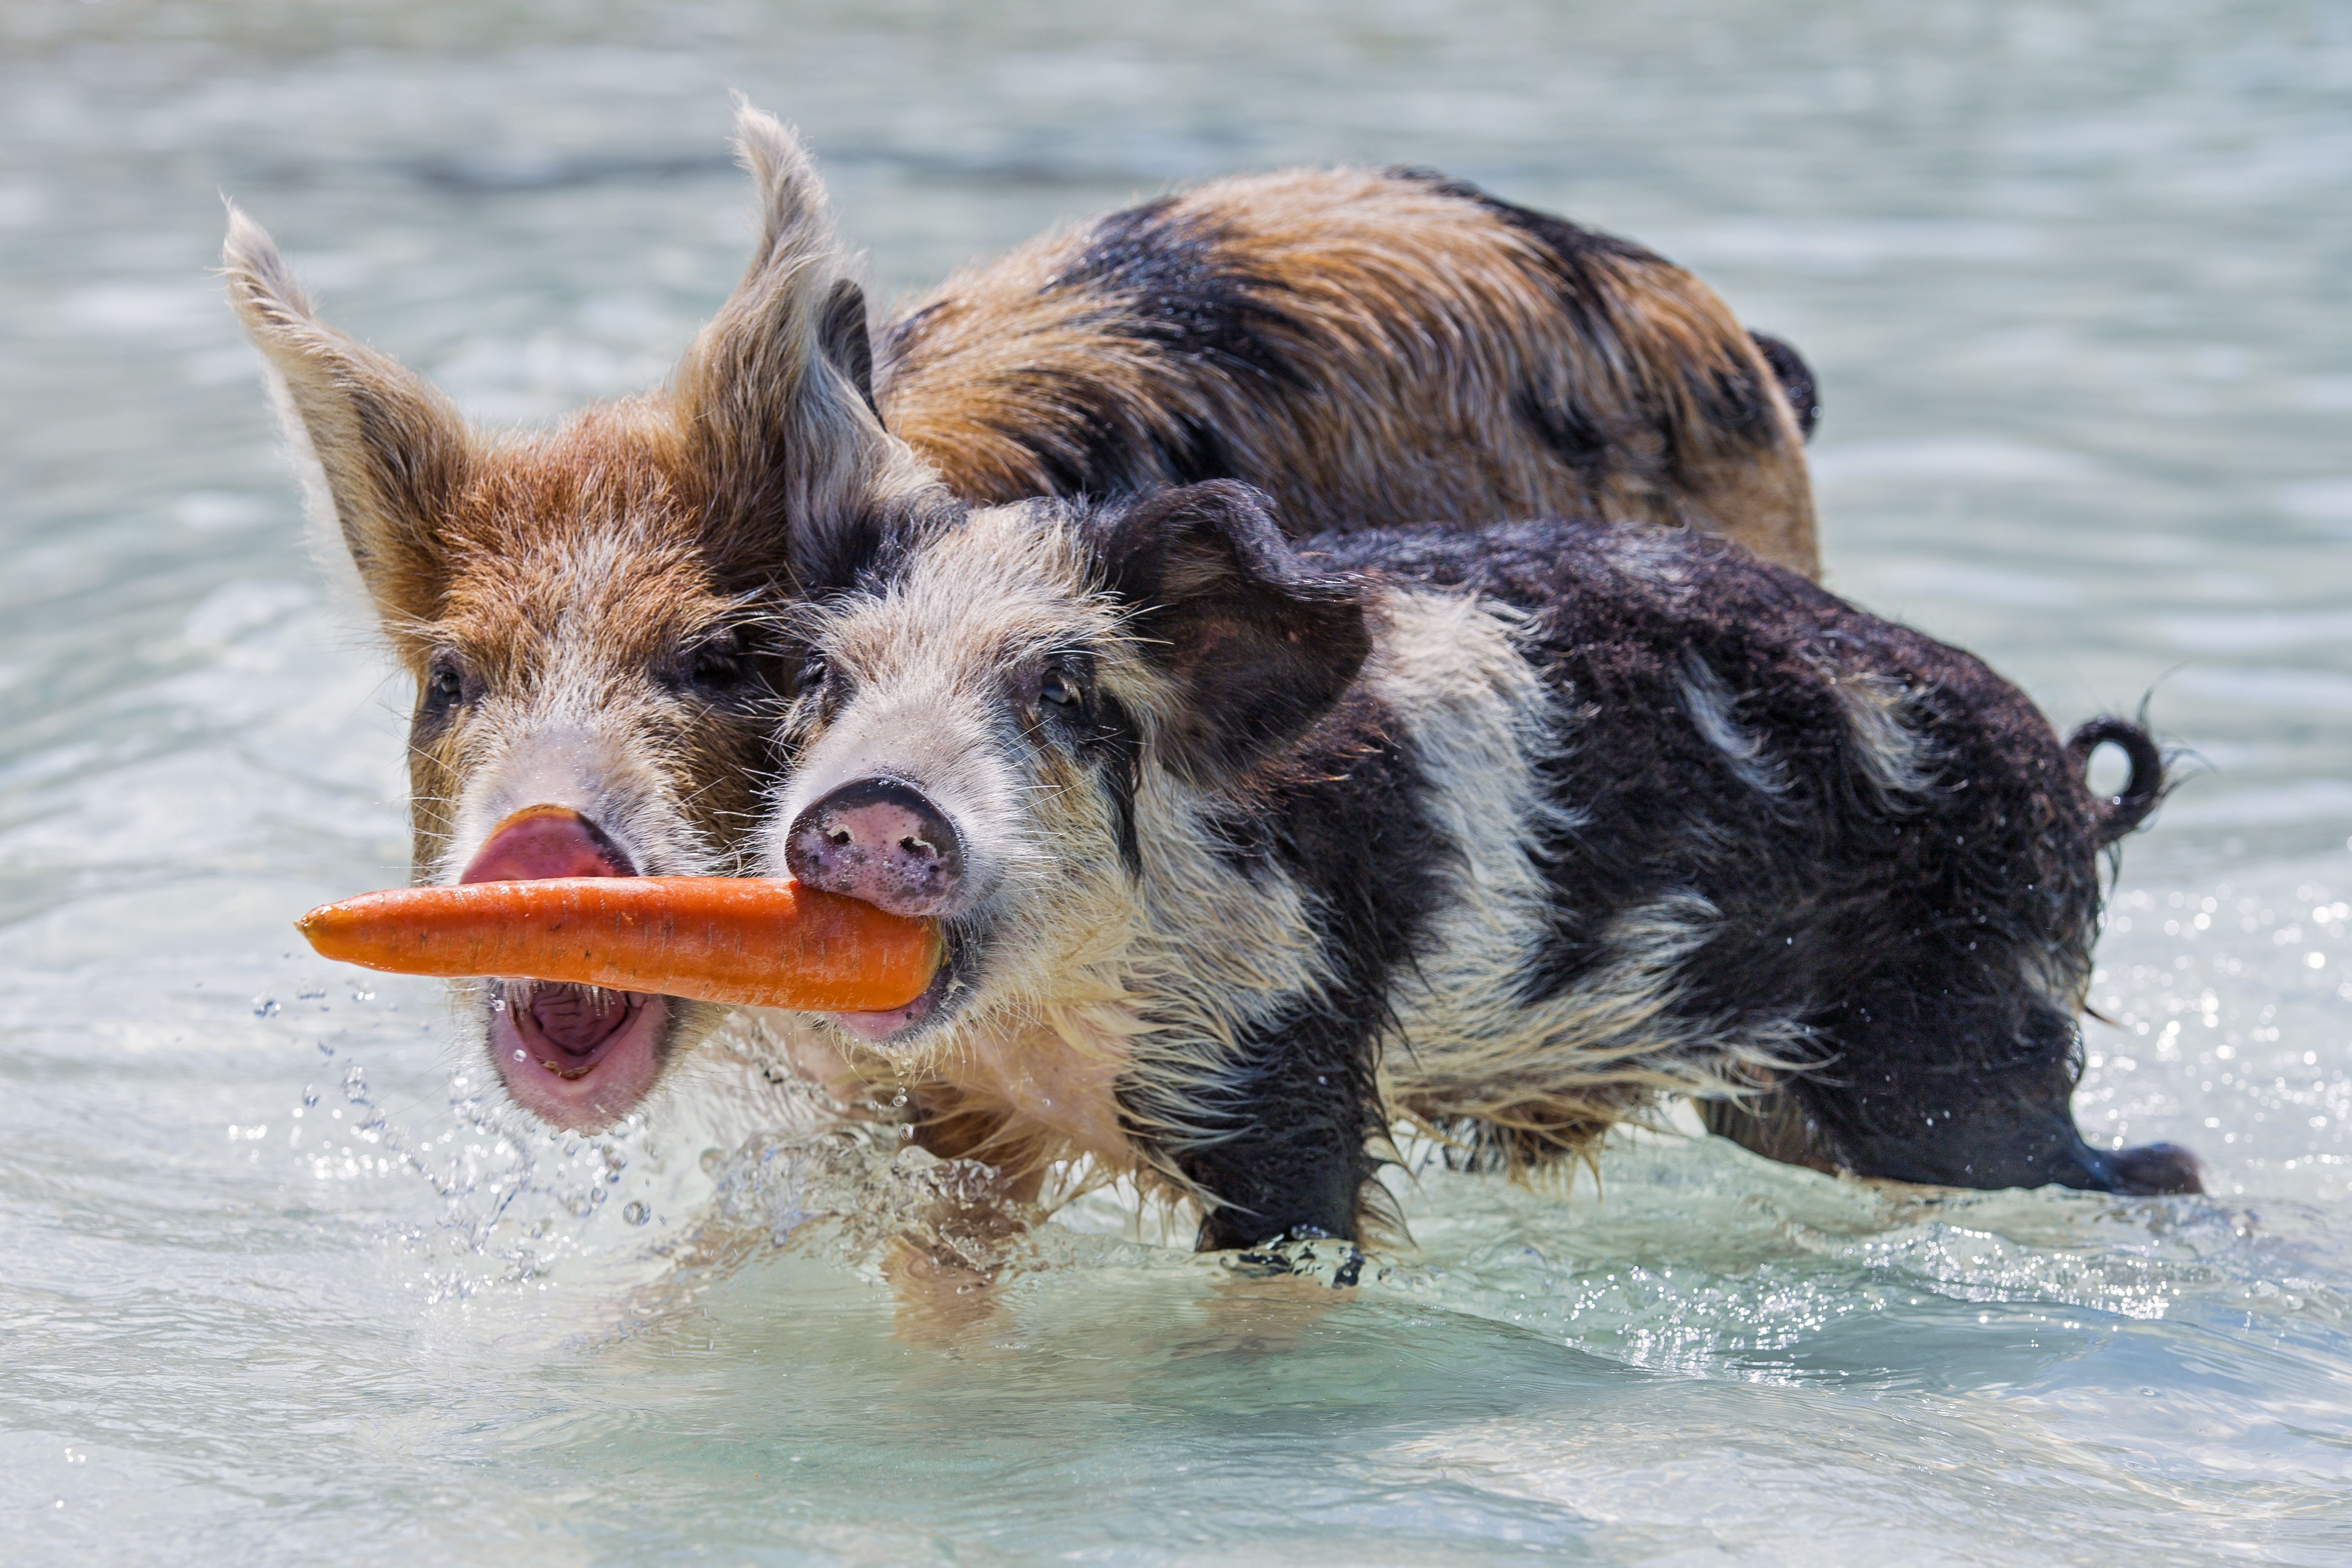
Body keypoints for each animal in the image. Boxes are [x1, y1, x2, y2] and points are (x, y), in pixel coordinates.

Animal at [757, 484, 2201, 1260]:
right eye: (827, 676)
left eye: (1060, 690)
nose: (875, 808)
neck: (1048, 1033)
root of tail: (2072, 789)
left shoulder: (1281, 1030)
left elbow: (1302, 1225)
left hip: (1964, 1045)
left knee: (2112, 1163)